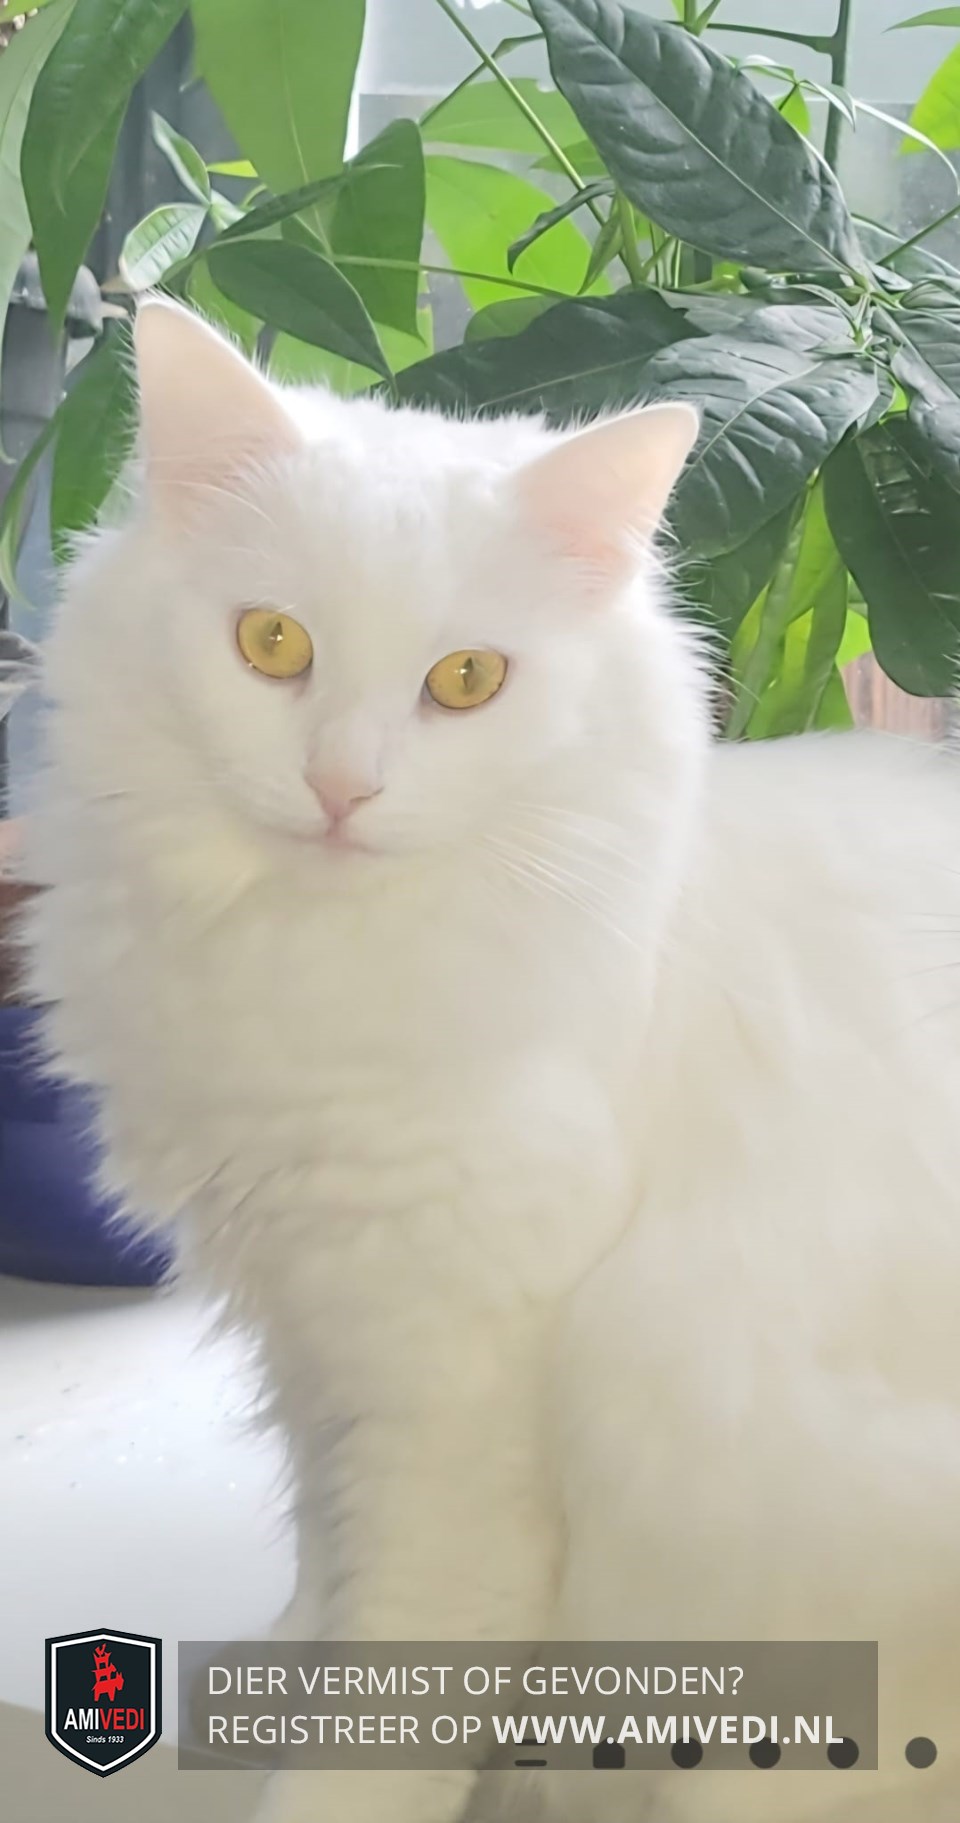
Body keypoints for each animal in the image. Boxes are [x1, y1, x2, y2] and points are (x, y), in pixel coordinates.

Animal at [23, 296, 960, 1823]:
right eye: (271, 642)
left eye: (467, 682)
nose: (343, 788)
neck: (322, 977)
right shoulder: (318, 1340)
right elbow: (325, 1567)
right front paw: (265, 1676)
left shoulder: (452, 1398)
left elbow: (393, 1685)